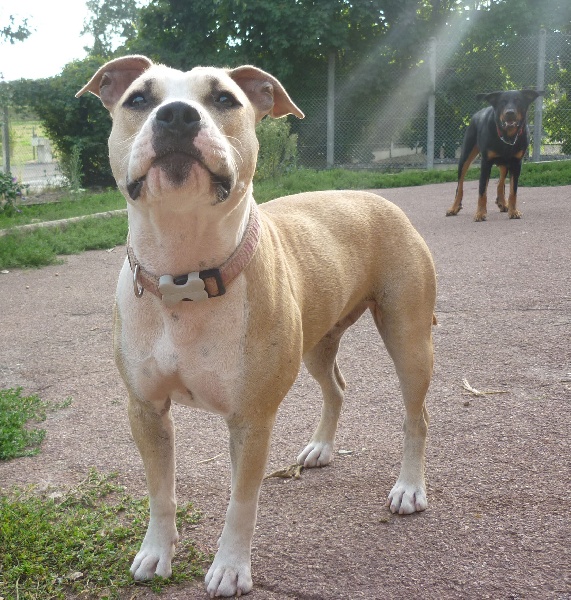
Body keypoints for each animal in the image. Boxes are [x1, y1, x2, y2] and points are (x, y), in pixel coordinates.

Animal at [77, 55, 438, 596]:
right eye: (138, 98)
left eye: (224, 99)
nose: (177, 115)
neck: (183, 276)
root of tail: (375, 197)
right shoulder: (145, 410)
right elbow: (160, 491)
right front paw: (156, 551)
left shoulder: (251, 419)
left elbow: (241, 503)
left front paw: (230, 567)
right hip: (317, 343)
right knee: (336, 387)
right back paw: (321, 447)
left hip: (409, 339)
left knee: (416, 417)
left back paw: (409, 488)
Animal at [446, 88, 540, 221]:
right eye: (502, 102)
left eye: (518, 101)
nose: (510, 112)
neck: (507, 137)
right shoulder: (486, 162)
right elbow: (482, 190)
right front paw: (480, 213)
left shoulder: (516, 163)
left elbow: (513, 191)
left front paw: (513, 211)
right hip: (465, 156)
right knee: (460, 185)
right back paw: (454, 208)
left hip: (505, 163)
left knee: (500, 182)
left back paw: (502, 202)